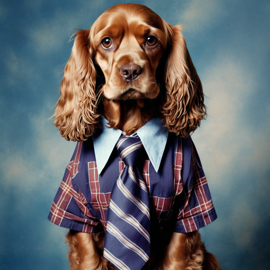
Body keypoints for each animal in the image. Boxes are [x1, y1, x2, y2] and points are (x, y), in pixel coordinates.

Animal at [50, 2, 221, 270]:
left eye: (151, 40)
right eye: (106, 42)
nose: (131, 70)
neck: (130, 130)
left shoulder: (188, 210)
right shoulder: (78, 213)